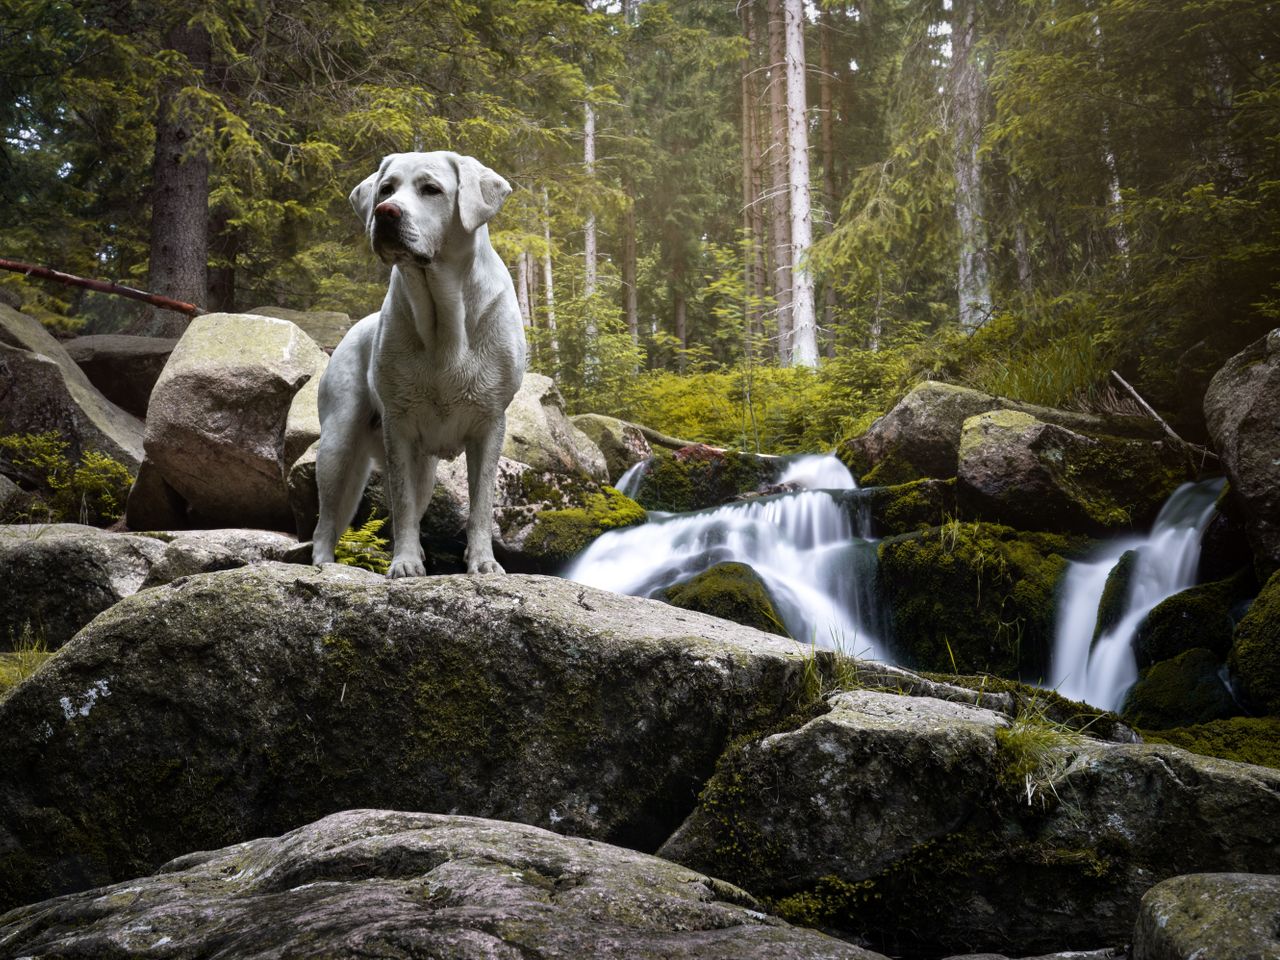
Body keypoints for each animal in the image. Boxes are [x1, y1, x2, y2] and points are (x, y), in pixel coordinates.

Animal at [309, 152, 524, 578]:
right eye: (386, 188)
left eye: (431, 189)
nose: (386, 212)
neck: (444, 320)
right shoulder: (400, 428)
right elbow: (403, 506)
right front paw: (405, 564)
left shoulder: (489, 424)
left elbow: (480, 505)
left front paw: (483, 563)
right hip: (338, 445)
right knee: (326, 522)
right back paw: (325, 568)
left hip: (423, 469)